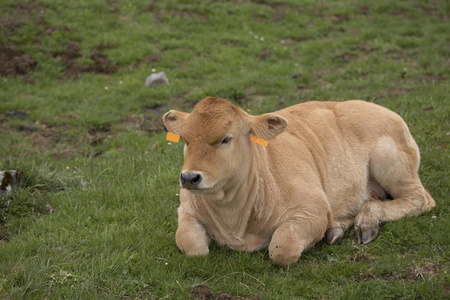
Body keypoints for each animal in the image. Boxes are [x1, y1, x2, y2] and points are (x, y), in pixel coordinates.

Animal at [163, 97, 436, 266]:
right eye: (185, 140)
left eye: (226, 139)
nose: (189, 177)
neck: (234, 219)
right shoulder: (186, 209)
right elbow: (191, 244)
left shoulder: (312, 209)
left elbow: (282, 249)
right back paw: (337, 228)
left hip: (391, 161)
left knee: (420, 200)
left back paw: (367, 221)